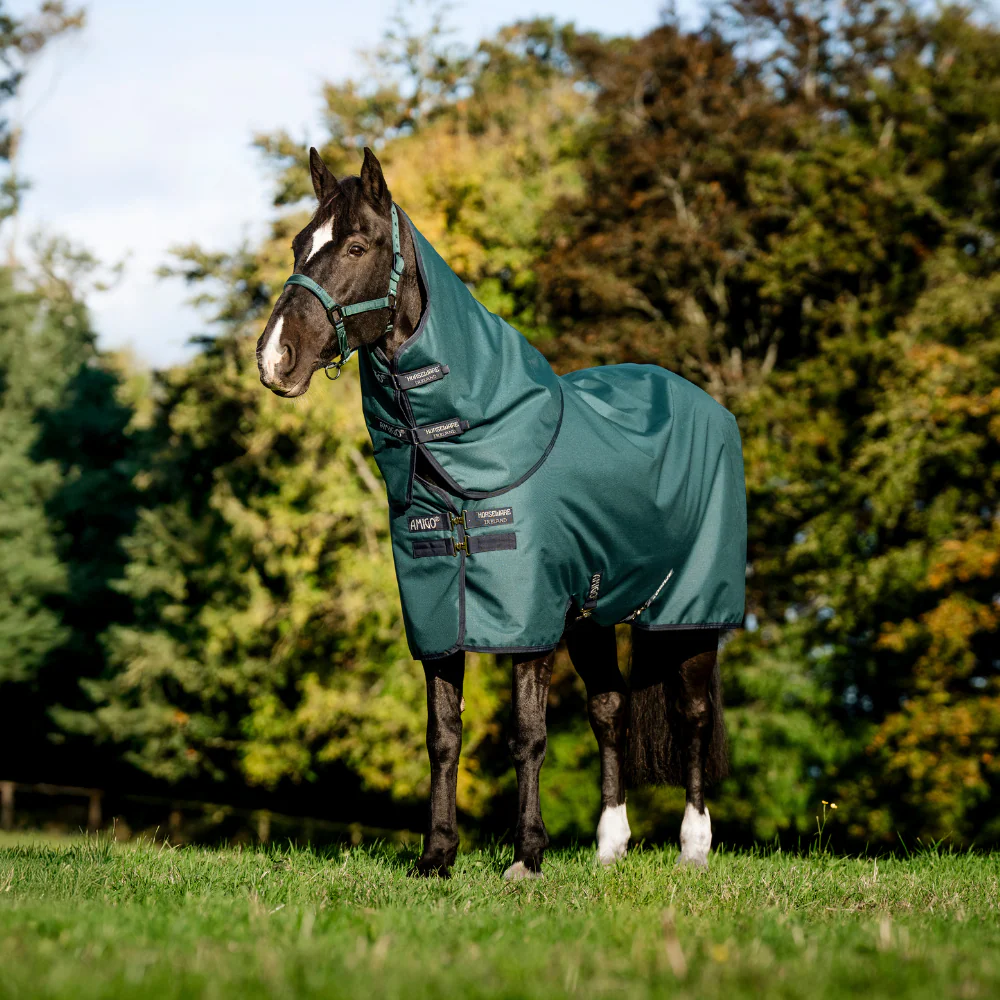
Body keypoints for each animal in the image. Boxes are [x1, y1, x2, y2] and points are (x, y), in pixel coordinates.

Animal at [256, 147, 745, 877]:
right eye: (297, 245)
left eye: (357, 246)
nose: (273, 358)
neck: (472, 451)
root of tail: (705, 404)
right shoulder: (438, 617)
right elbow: (443, 735)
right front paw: (436, 857)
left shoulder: (529, 621)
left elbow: (529, 735)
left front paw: (527, 857)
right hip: (593, 616)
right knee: (610, 710)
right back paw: (610, 847)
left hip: (689, 614)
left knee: (690, 714)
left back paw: (694, 847)